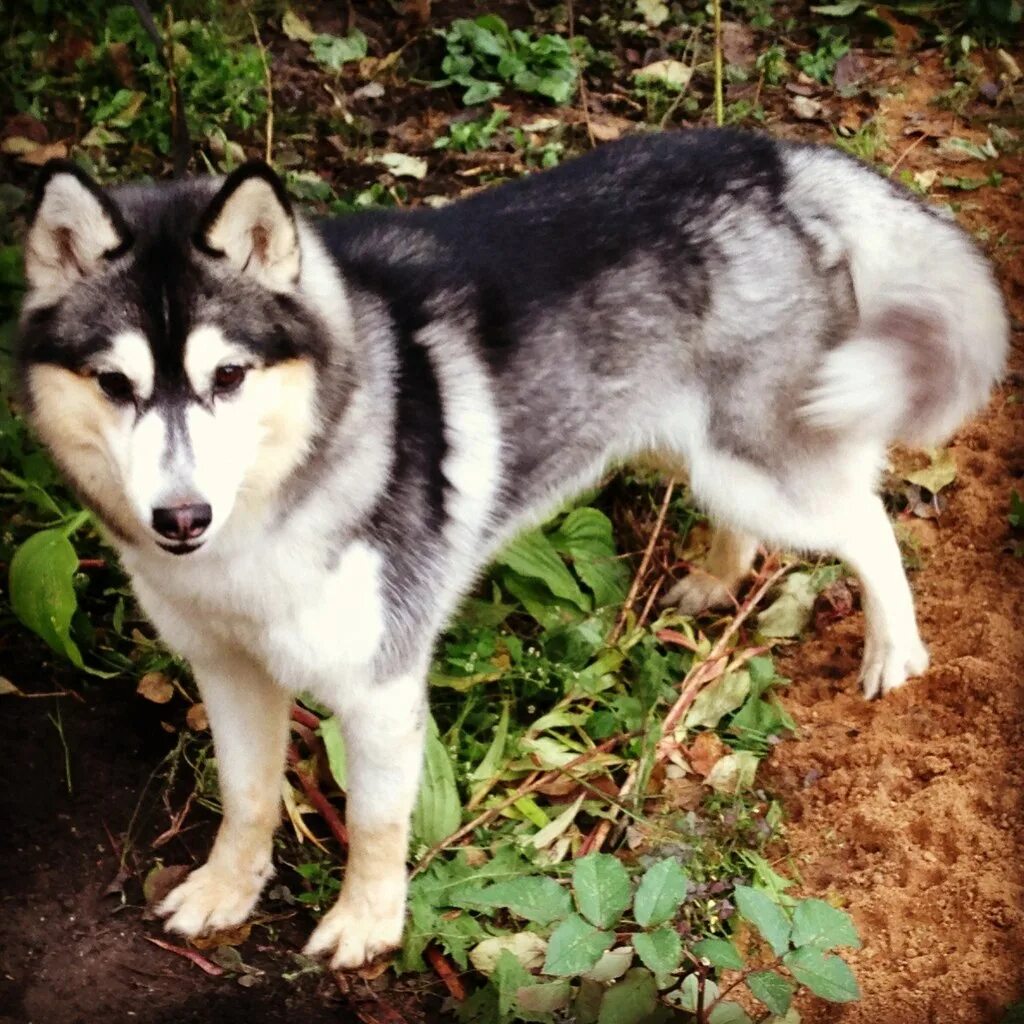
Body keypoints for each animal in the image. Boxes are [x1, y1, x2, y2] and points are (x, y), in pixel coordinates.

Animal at [16, 130, 1007, 966]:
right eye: (114, 384)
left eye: (228, 377)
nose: (181, 519)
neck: (275, 500)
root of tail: (770, 154)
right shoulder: (224, 668)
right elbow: (247, 794)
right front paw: (228, 888)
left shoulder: (379, 688)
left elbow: (375, 822)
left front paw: (367, 923)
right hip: (686, 442)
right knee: (746, 515)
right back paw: (720, 579)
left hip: (763, 459)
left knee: (866, 523)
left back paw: (894, 647)